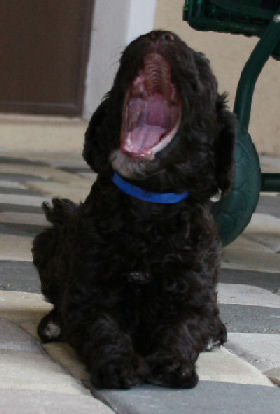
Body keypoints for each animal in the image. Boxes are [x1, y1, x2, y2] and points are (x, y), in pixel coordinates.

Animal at [31, 30, 235, 390]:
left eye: (201, 62)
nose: (161, 35)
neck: (149, 201)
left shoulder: (194, 294)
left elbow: (186, 327)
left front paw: (173, 363)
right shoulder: (90, 295)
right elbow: (103, 328)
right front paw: (118, 365)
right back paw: (53, 324)